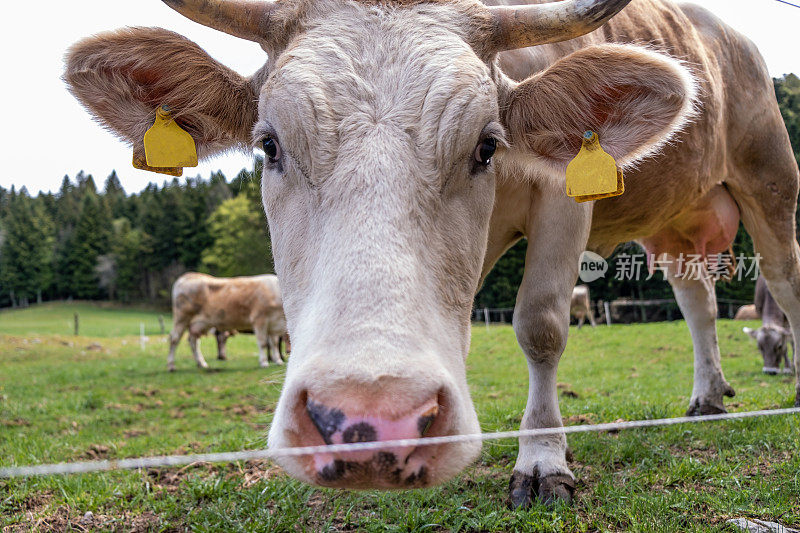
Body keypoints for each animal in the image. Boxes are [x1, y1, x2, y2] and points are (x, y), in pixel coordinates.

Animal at [64, 0, 800, 508]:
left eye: (487, 144)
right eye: (269, 145)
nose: (370, 421)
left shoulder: (563, 199)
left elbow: (541, 325)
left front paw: (541, 459)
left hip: (770, 178)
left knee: (785, 278)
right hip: (675, 224)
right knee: (698, 300)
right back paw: (707, 394)